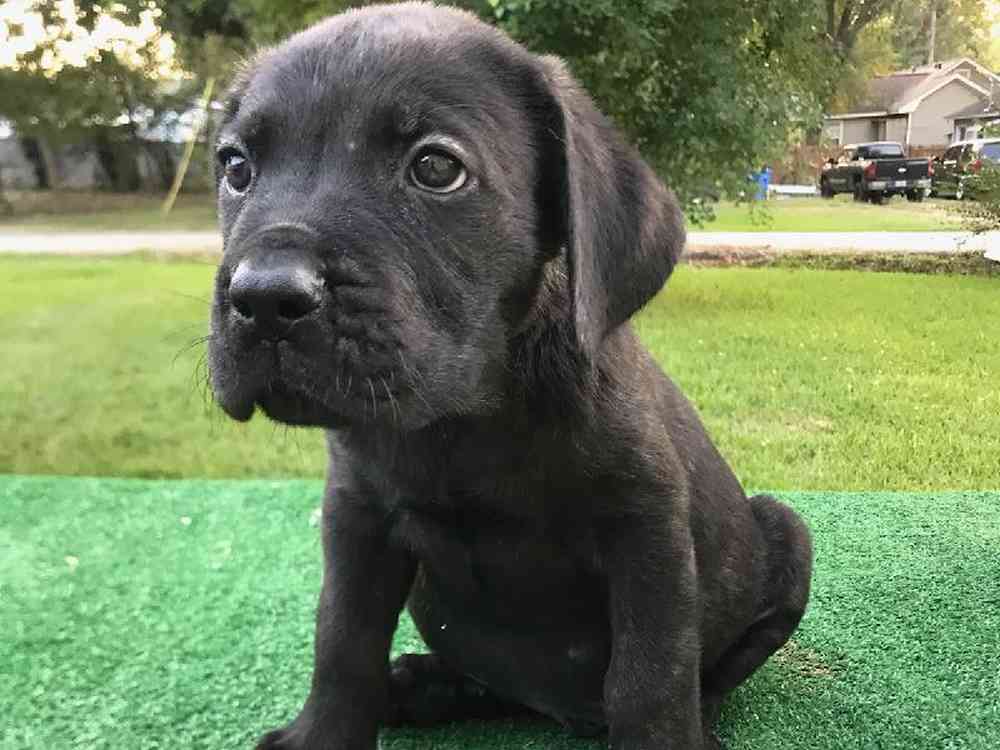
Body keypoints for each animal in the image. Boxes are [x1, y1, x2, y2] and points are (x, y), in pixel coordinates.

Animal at [209, 2, 812, 748]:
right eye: (236, 167)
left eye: (436, 167)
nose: (264, 296)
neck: (464, 419)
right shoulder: (357, 516)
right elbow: (343, 640)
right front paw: (324, 732)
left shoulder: (647, 530)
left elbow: (651, 676)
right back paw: (426, 687)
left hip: (786, 532)